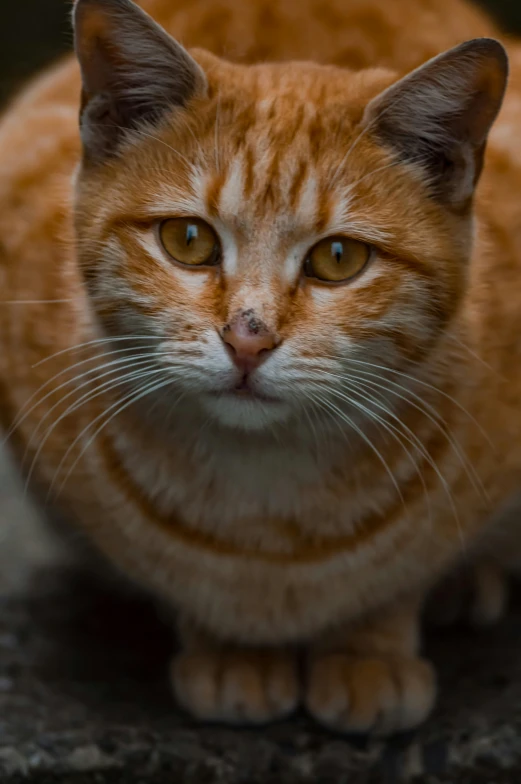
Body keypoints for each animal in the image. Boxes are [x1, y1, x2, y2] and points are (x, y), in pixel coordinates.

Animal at [1, 0, 520, 736]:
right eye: (187, 240)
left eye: (338, 258)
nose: (248, 340)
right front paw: (230, 649)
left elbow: (396, 580)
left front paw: (367, 648)